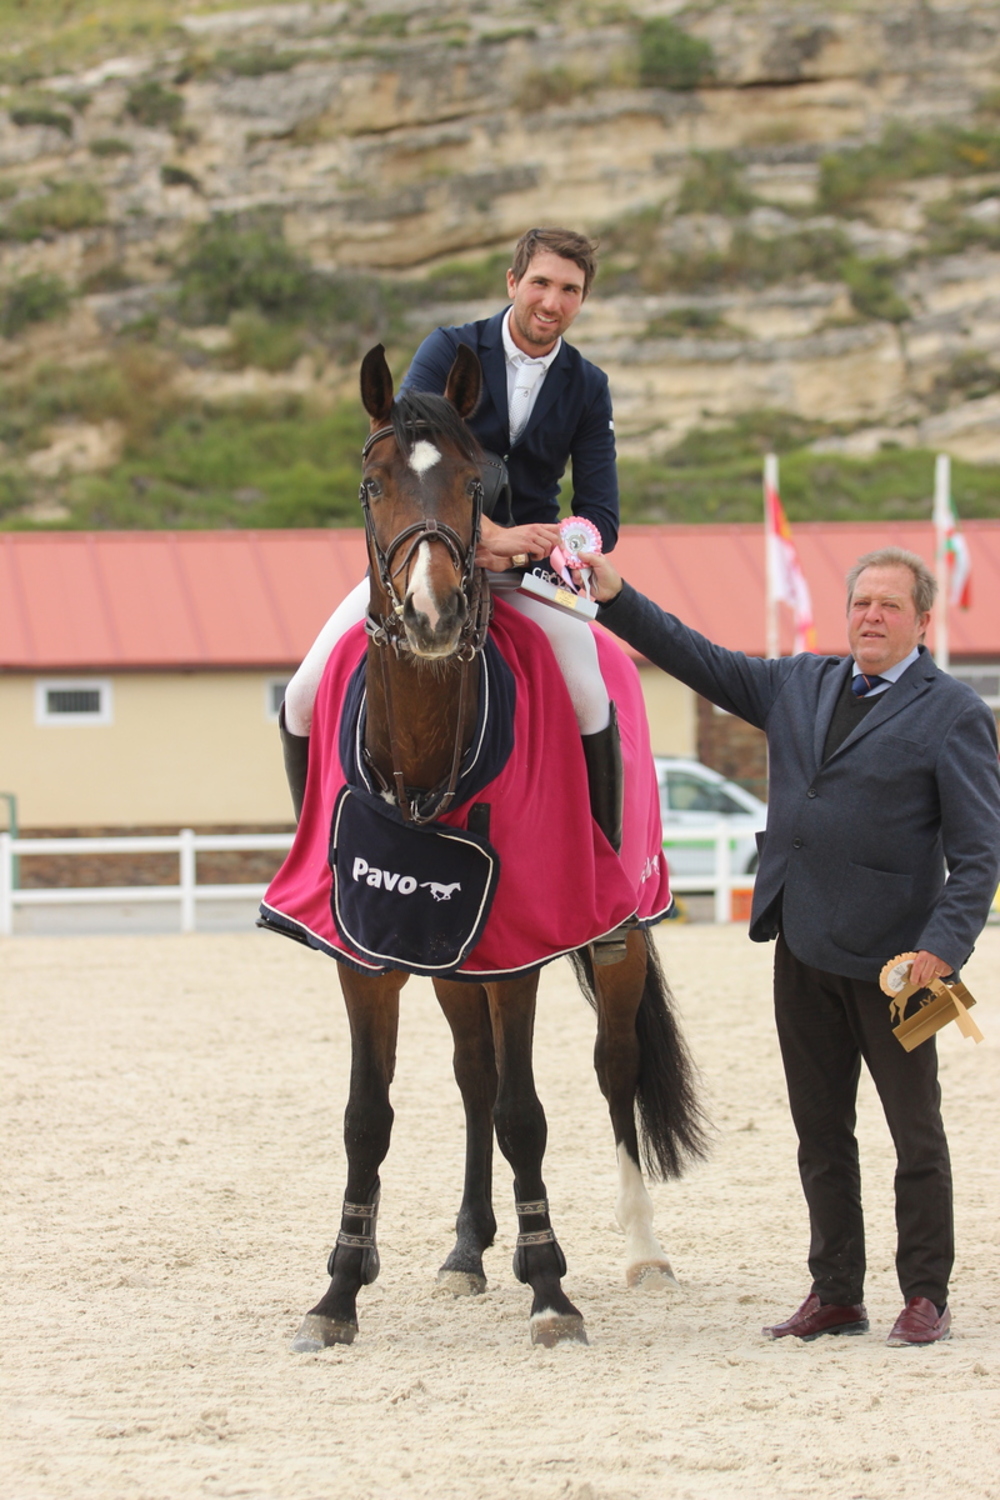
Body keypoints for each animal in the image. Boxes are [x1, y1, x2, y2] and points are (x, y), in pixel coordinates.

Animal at [274, 345, 704, 1356]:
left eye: (478, 487)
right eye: (370, 484)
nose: (431, 617)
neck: (429, 753)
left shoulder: (519, 952)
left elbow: (525, 1112)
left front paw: (550, 1289)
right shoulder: (366, 952)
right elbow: (369, 1117)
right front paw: (339, 1290)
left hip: (617, 935)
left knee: (611, 1067)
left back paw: (639, 1248)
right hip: (453, 964)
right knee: (472, 1077)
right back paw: (469, 1249)